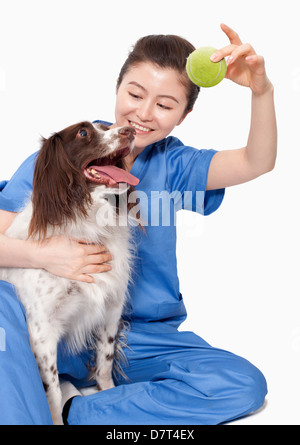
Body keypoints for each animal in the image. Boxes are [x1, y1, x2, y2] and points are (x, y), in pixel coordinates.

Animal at [0, 120, 138, 424]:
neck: (85, 219)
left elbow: (105, 362)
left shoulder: (111, 309)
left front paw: (108, 395)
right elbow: (51, 388)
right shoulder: (42, 329)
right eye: (83, 133)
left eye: (107, 125)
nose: (130, 130)